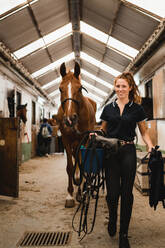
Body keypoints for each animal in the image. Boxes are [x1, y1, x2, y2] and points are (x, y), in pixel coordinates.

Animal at [54, 61, 96, 207]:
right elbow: (70, 167)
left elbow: (83, 164)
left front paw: (80, 193)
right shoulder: (66, 141)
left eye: (80, 88)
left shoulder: (85, 140)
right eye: (60, 89)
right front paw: (70, 196)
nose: (70, 118)